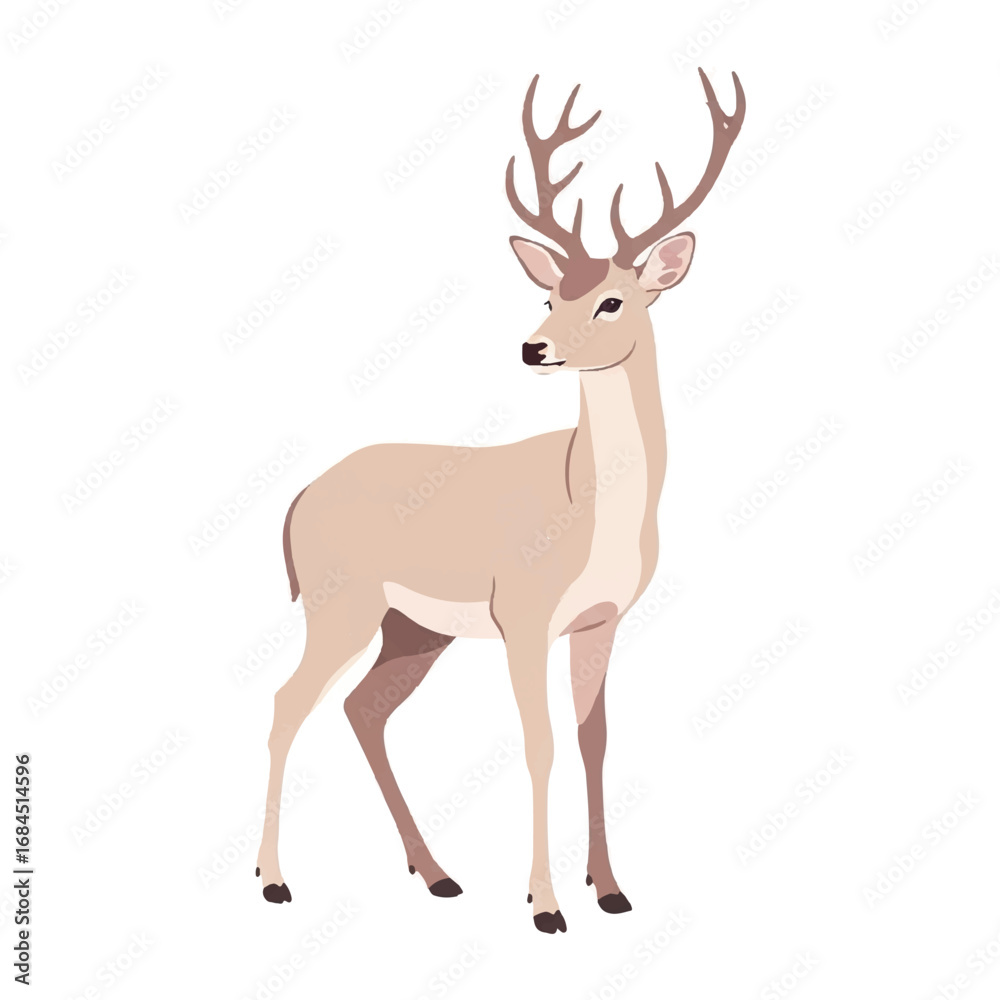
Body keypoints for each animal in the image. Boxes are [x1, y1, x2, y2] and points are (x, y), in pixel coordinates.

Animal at [256, 68, 745, 934]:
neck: (587, 507)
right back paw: (274, 881)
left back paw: (437, 874)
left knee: (363, 709)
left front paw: (610, 890)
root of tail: (302, 496)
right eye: (552, 296)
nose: (532, 347)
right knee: (286, 704)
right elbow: (538, 742)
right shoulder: (523, 616)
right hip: (339, 603)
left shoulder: (601, 621)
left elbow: (593, 740)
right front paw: (545, 905)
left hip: (412, 629)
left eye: (613, 299)